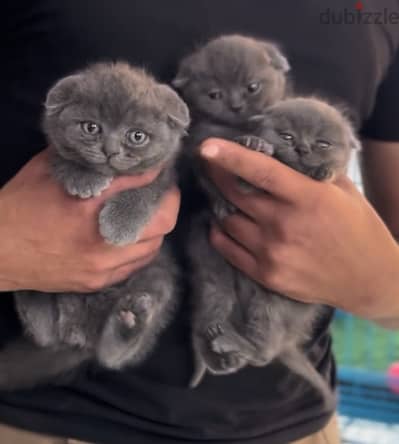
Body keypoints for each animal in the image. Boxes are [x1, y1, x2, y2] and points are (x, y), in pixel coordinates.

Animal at [0, 63, 189, 392]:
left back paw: (130, 323)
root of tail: (78, 335)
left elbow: (146, 191)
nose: (110, 151)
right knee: (45, 334)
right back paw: (30, 294)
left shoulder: (164, 176)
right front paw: (83, 177)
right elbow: (63, 159)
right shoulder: (52, 154)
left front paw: (119, 223)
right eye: (91, 127)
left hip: (158, 275)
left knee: (111, 355)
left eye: (137, 135)